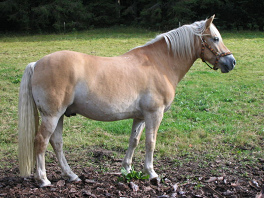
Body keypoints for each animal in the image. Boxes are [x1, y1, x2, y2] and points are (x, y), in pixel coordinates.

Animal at [18, 15, 236, 187]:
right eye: (215, 38)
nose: (231, 62)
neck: (159, 64)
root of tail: (36, 64)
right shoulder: (154, 114)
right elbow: (150, 142)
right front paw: (152, 174)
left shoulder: (140, 117)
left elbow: (134, 141)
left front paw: (126, 169)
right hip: (52, 115)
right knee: (41, 141)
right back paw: (43, 180)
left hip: (60, 115)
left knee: (57, 143)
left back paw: (71, 176)